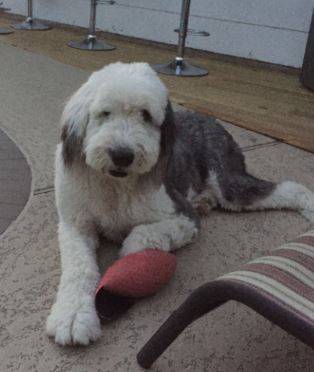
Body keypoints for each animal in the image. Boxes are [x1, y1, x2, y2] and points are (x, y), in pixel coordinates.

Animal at [46, 61, 314, 346]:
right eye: (105, 112)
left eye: (146, 115)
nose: (122, 155)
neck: (115, 185)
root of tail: (209, 118)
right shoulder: (75, 224)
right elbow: (78, 267)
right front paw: (73, 317)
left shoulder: (182, 215)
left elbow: (144, 233)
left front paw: (131, 256)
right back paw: (205, 201)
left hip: (228, 183)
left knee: (287, 188)